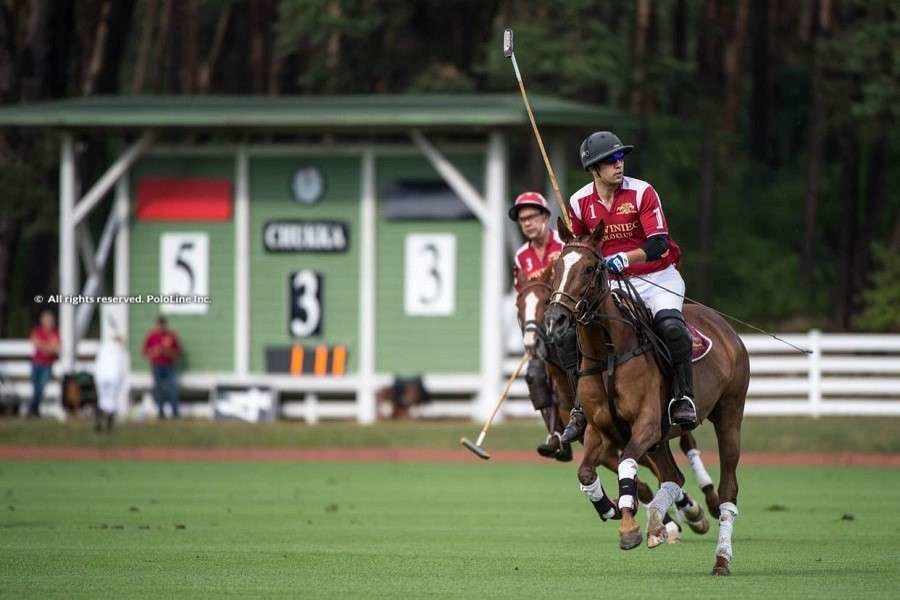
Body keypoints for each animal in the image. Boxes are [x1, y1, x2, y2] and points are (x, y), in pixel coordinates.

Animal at [544, 221, 748, 576]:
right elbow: (586, 474)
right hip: (661, 440)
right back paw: (659, 523)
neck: (609, 352)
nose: (556, 318)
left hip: (729, 414)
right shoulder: (600, 430)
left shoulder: (647, 424)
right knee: (673, 476)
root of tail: (726, 327)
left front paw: (629, 527)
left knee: (728, 490)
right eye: (557, 267)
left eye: (590, 268)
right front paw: (613, 511)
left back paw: (721, 558)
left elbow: (626, 463)